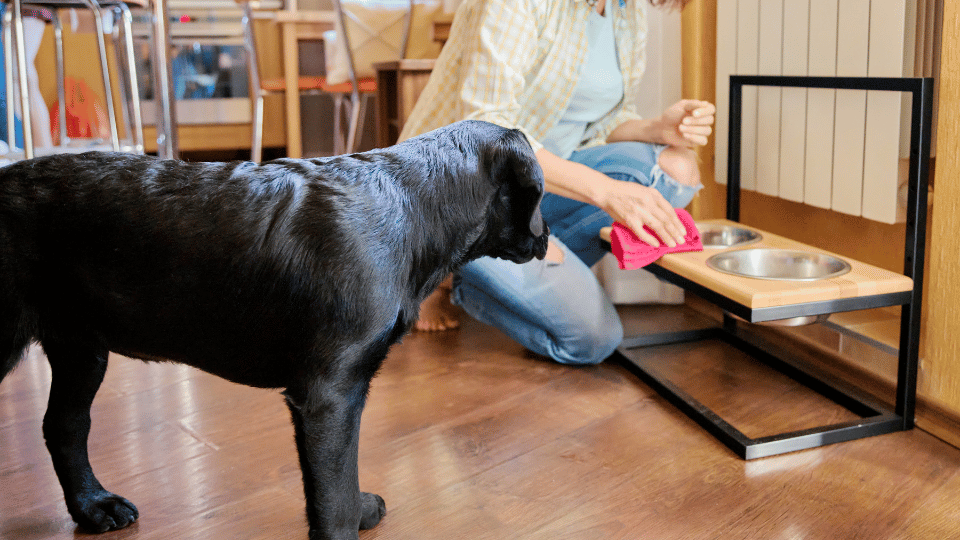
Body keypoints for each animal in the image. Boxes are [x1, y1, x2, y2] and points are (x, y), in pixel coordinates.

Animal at [0, 120, 548, 536]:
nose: (547, 239)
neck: (412, 205)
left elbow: (339, 483)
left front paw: (361, 506)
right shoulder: (330, 394)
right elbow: (333, 495)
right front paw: (349, 518)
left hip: (81, 348)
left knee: (65, 426)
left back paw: (93, 507)